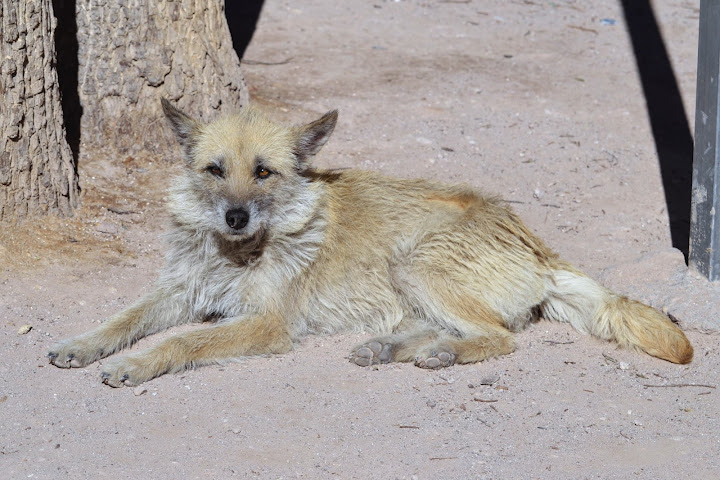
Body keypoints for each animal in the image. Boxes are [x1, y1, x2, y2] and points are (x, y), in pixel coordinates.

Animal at [47, 100, 696, 386]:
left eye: (264, 173)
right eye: (214, 169)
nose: (234, 217)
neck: (236, 251)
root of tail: (537, 245)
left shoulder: (266, 325)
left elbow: (184, 342)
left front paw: (136, 364)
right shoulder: (178, 293)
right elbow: (122, 318)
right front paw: (83, 345)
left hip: (414, 261)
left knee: (500, 337)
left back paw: (438, 354)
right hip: (409, 279)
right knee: (457, 328)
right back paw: (390, 347)